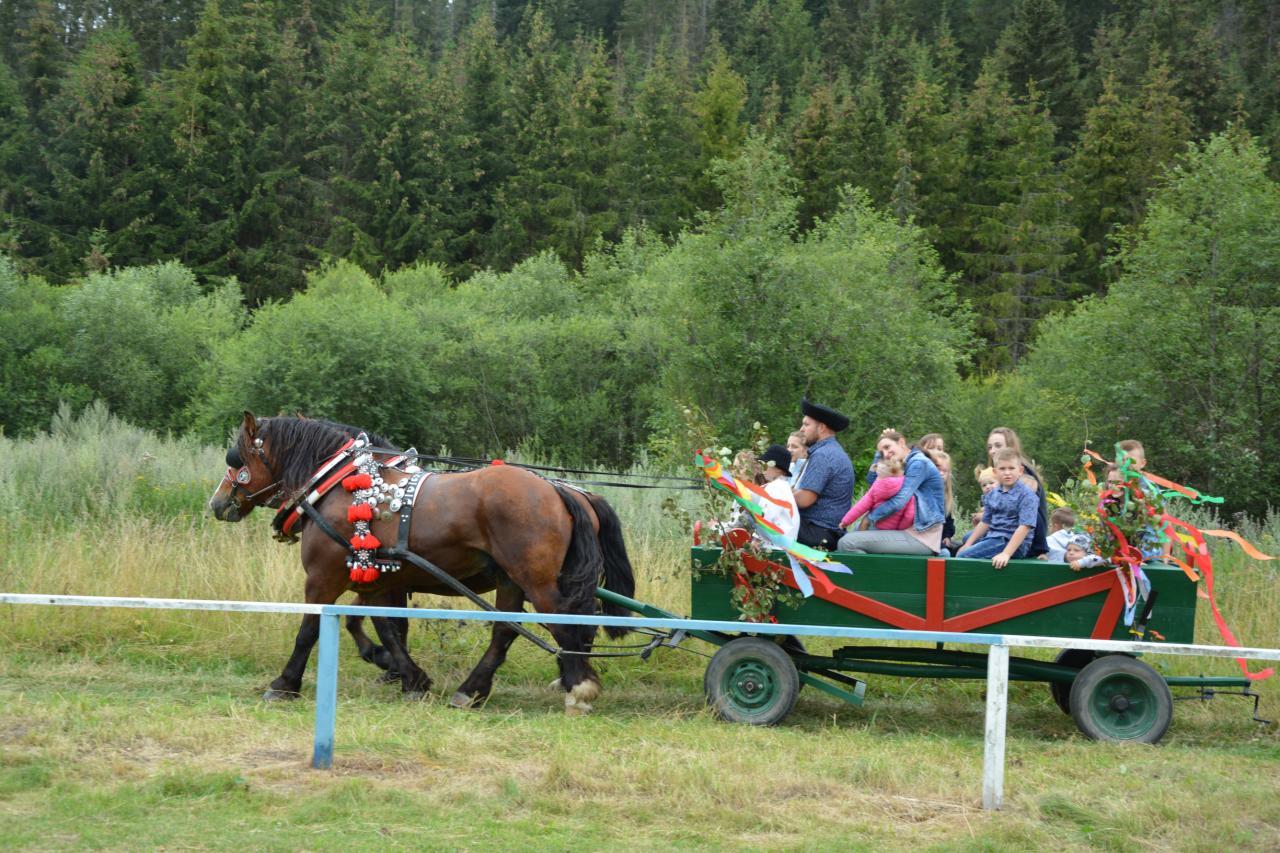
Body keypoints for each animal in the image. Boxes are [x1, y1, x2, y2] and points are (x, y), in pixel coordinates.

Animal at [207, 412, 637, 714]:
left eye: (237, 459)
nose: (217, 502)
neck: (338, 486)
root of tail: (559, 489)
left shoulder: (323, 577)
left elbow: (310, 630)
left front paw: (284, 683)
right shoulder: (378, 576)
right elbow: (384, 628)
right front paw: (407, 676)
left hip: (536, 579)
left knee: (564, 622)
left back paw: (577, 686)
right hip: (512, 580)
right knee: (508, 630)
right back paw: (472, 690)